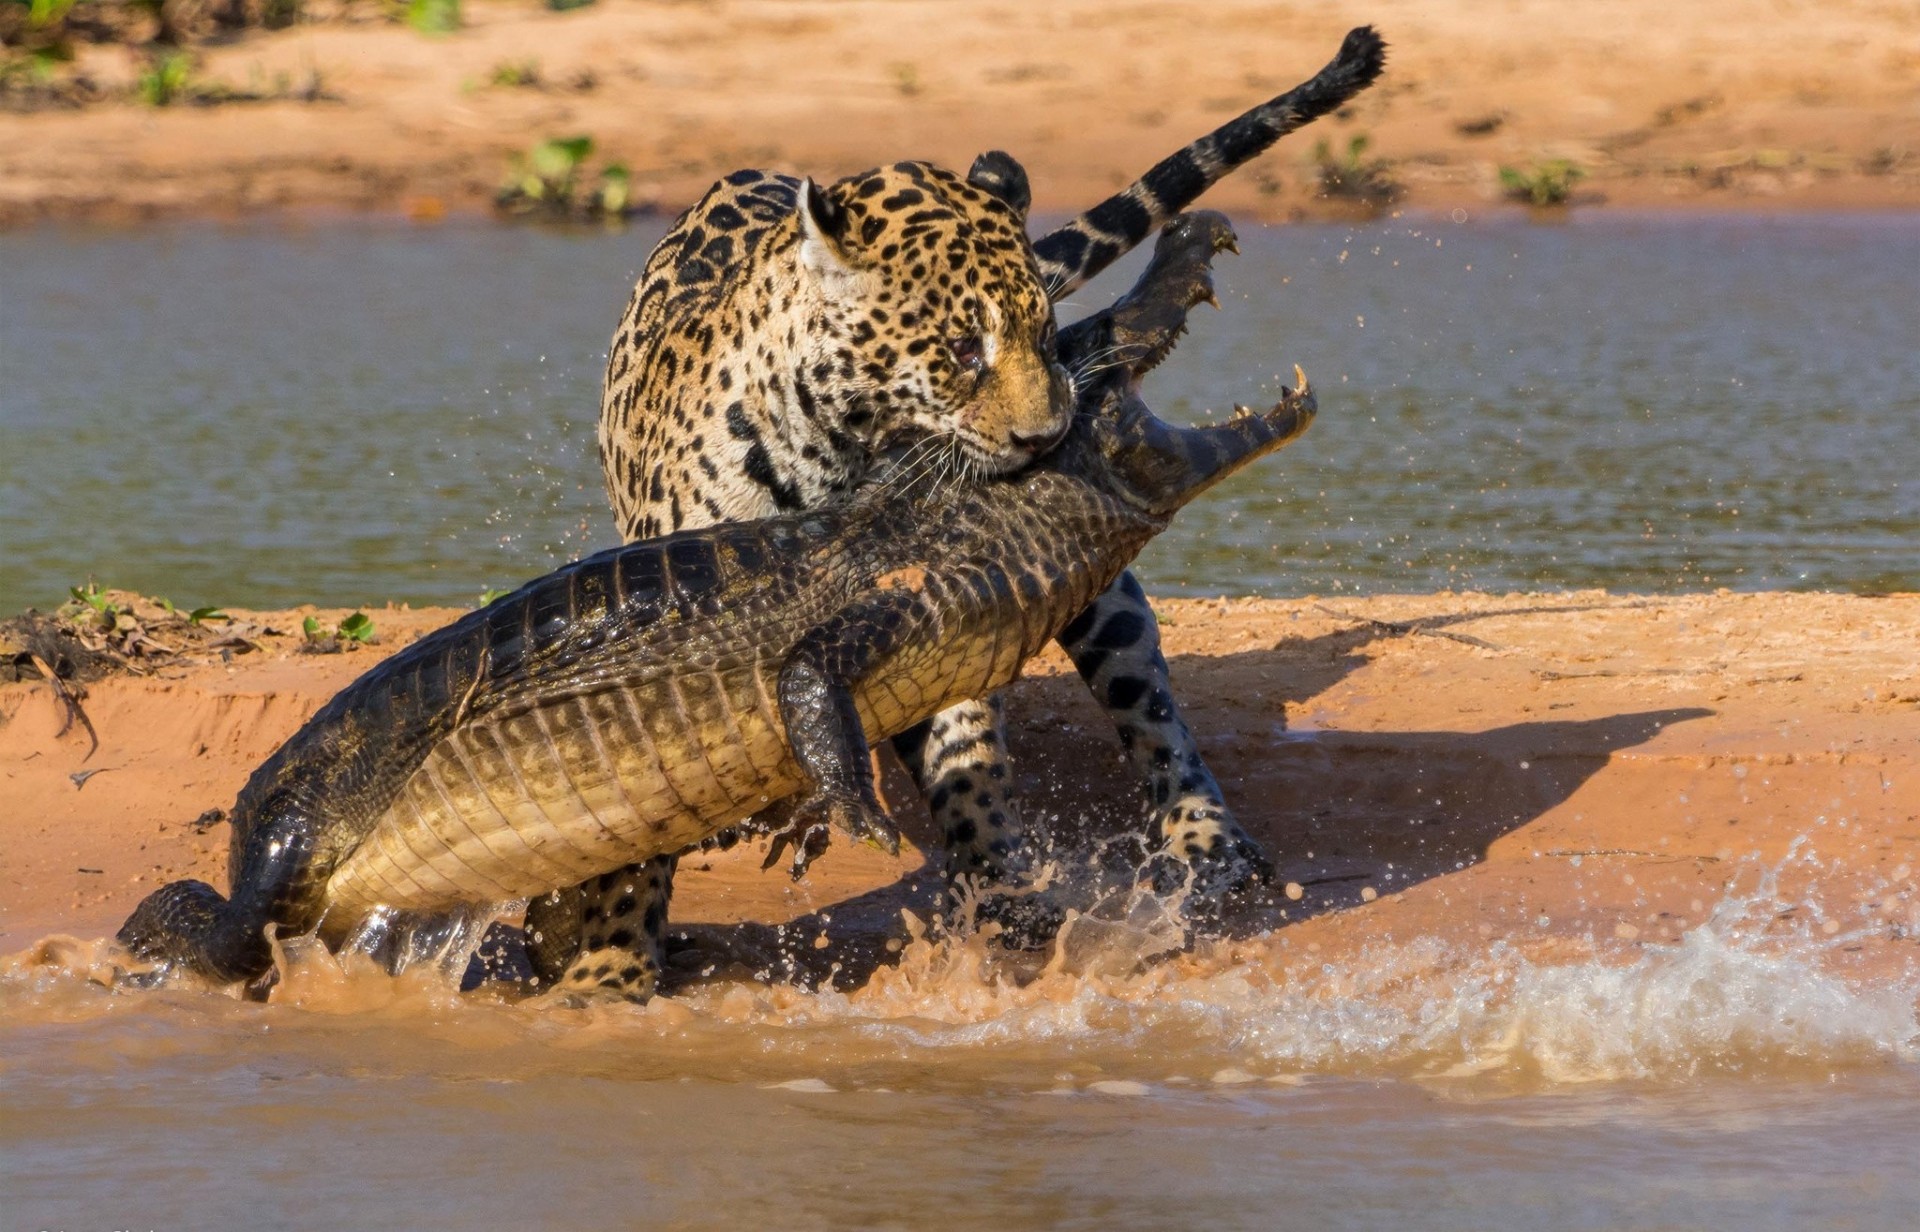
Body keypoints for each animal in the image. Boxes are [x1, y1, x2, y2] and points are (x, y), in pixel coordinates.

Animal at [526, 27, 1387, 1001]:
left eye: (1045, 333)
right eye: (960, 349)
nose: (1048, 436)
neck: (843, 451)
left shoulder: (944, 596)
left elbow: (965, 748)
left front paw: (999, 893)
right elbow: (632, 825)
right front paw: (610, 970)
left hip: (1106, 604)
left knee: (1153, 710)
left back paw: (1206, 840)